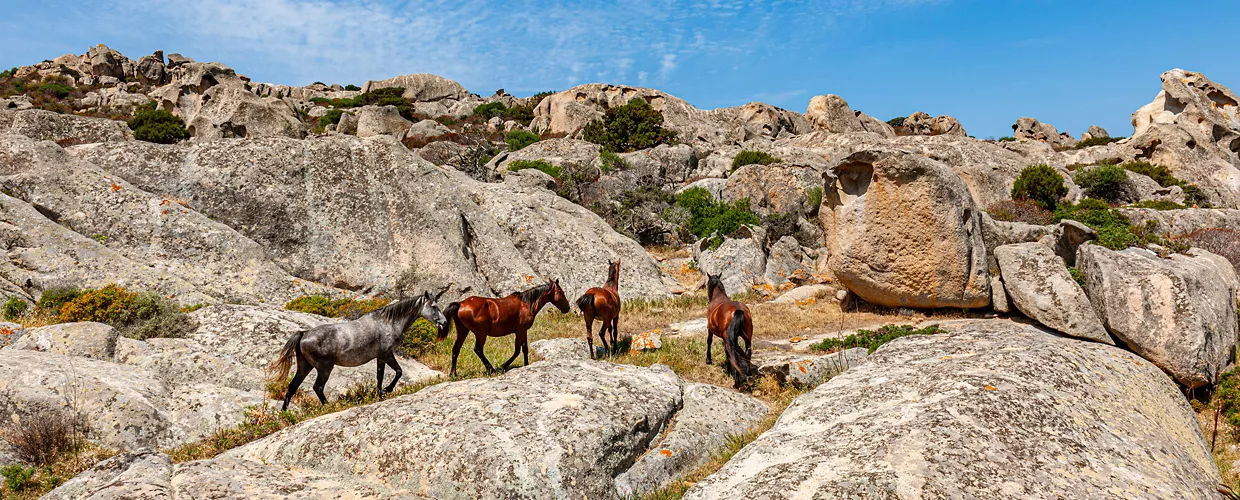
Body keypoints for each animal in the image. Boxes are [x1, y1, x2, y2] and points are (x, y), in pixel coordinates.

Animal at [269, 290, 448, 411]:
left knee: (292, 388)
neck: (387, 322)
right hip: (324, 367)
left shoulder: (380, 357)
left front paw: (380, 394)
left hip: (305, 366)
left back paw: (284, 414)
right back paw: (330, 406)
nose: (444, 322)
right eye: (434, 306)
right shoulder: (387, 354)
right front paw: (387, 390)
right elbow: (398, 372)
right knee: (317, 388)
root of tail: (304, 334)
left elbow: (380, 377)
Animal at [438, 281, 567, 377]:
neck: (526, 303)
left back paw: (453, 374)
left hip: (463, 330)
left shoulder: (524, 331)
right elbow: (517, 350)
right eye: (561, 292)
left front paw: (526, 365)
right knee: (478, 350)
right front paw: (503, 366)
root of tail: (460, 304)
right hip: (480, 333)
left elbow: (525, 349)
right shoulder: (520, 331)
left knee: (456, 349)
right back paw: (491, 370)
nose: (568, 308)